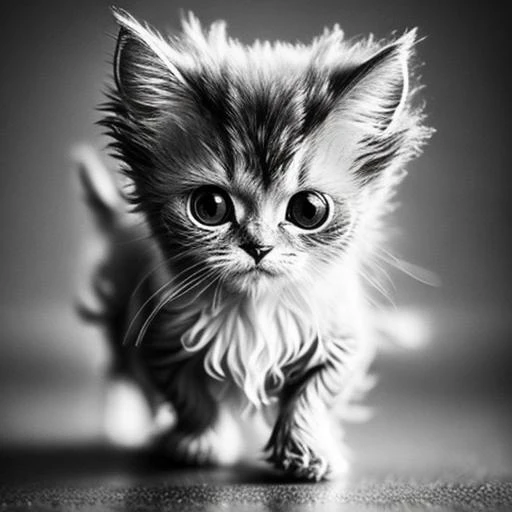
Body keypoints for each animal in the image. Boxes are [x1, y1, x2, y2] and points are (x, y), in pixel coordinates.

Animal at [79, 7, 432, 480]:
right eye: (210, 207)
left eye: (308, 211)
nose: (259, 247)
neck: (256, 309)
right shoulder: (160, 339)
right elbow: (190, 397)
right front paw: (200, 444)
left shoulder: (342, 340)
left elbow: (313, 397)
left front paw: (307, 452)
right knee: (121, 375)